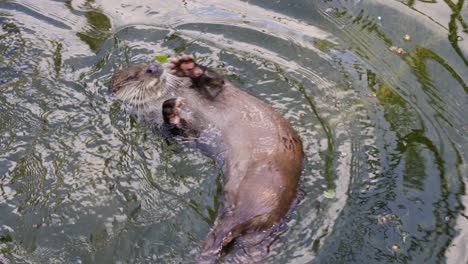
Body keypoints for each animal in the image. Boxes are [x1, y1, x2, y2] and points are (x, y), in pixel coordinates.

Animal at [112, 54, 306, 262]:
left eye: (150, 64)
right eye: (132, 76)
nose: (153, 68)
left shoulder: (217, 90)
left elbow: (214, 82)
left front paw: (187, 67)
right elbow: (182, 133)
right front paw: (170, 111)